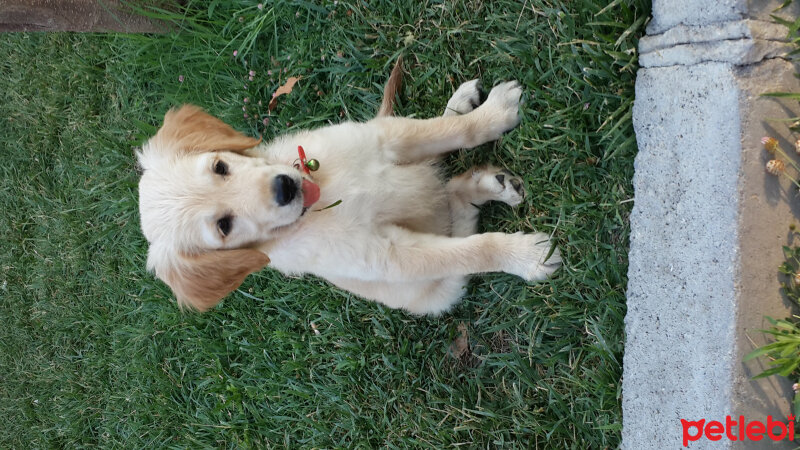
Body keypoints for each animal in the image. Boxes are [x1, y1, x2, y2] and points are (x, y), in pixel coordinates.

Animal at [136, 74, 564, 314]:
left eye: (220, 167)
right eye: (224, 227)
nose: (285, 187)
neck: (324, 197)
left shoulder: (384, 138)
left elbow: (454, 131)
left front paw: (495, 113)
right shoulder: (389, 256)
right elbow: (472, 251)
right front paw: (526, 256)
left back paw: (464, 111)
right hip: (438, 291)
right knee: (455, 212)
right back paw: (491, 187)